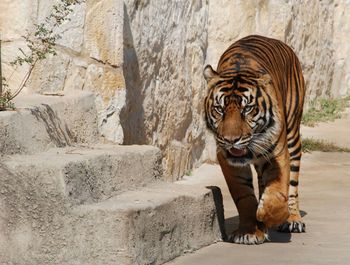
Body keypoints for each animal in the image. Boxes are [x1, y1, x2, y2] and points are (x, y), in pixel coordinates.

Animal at [204, 34, 304, 243]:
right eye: (219, 109)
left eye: (247, 109)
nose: (231, 139)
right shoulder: (228, 160)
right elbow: (244, 197)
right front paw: (249, 231)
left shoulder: (278, 153)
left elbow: (278, 192)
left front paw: (268, 215)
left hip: (293, 134)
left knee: (292, 183)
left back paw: (292, 220)